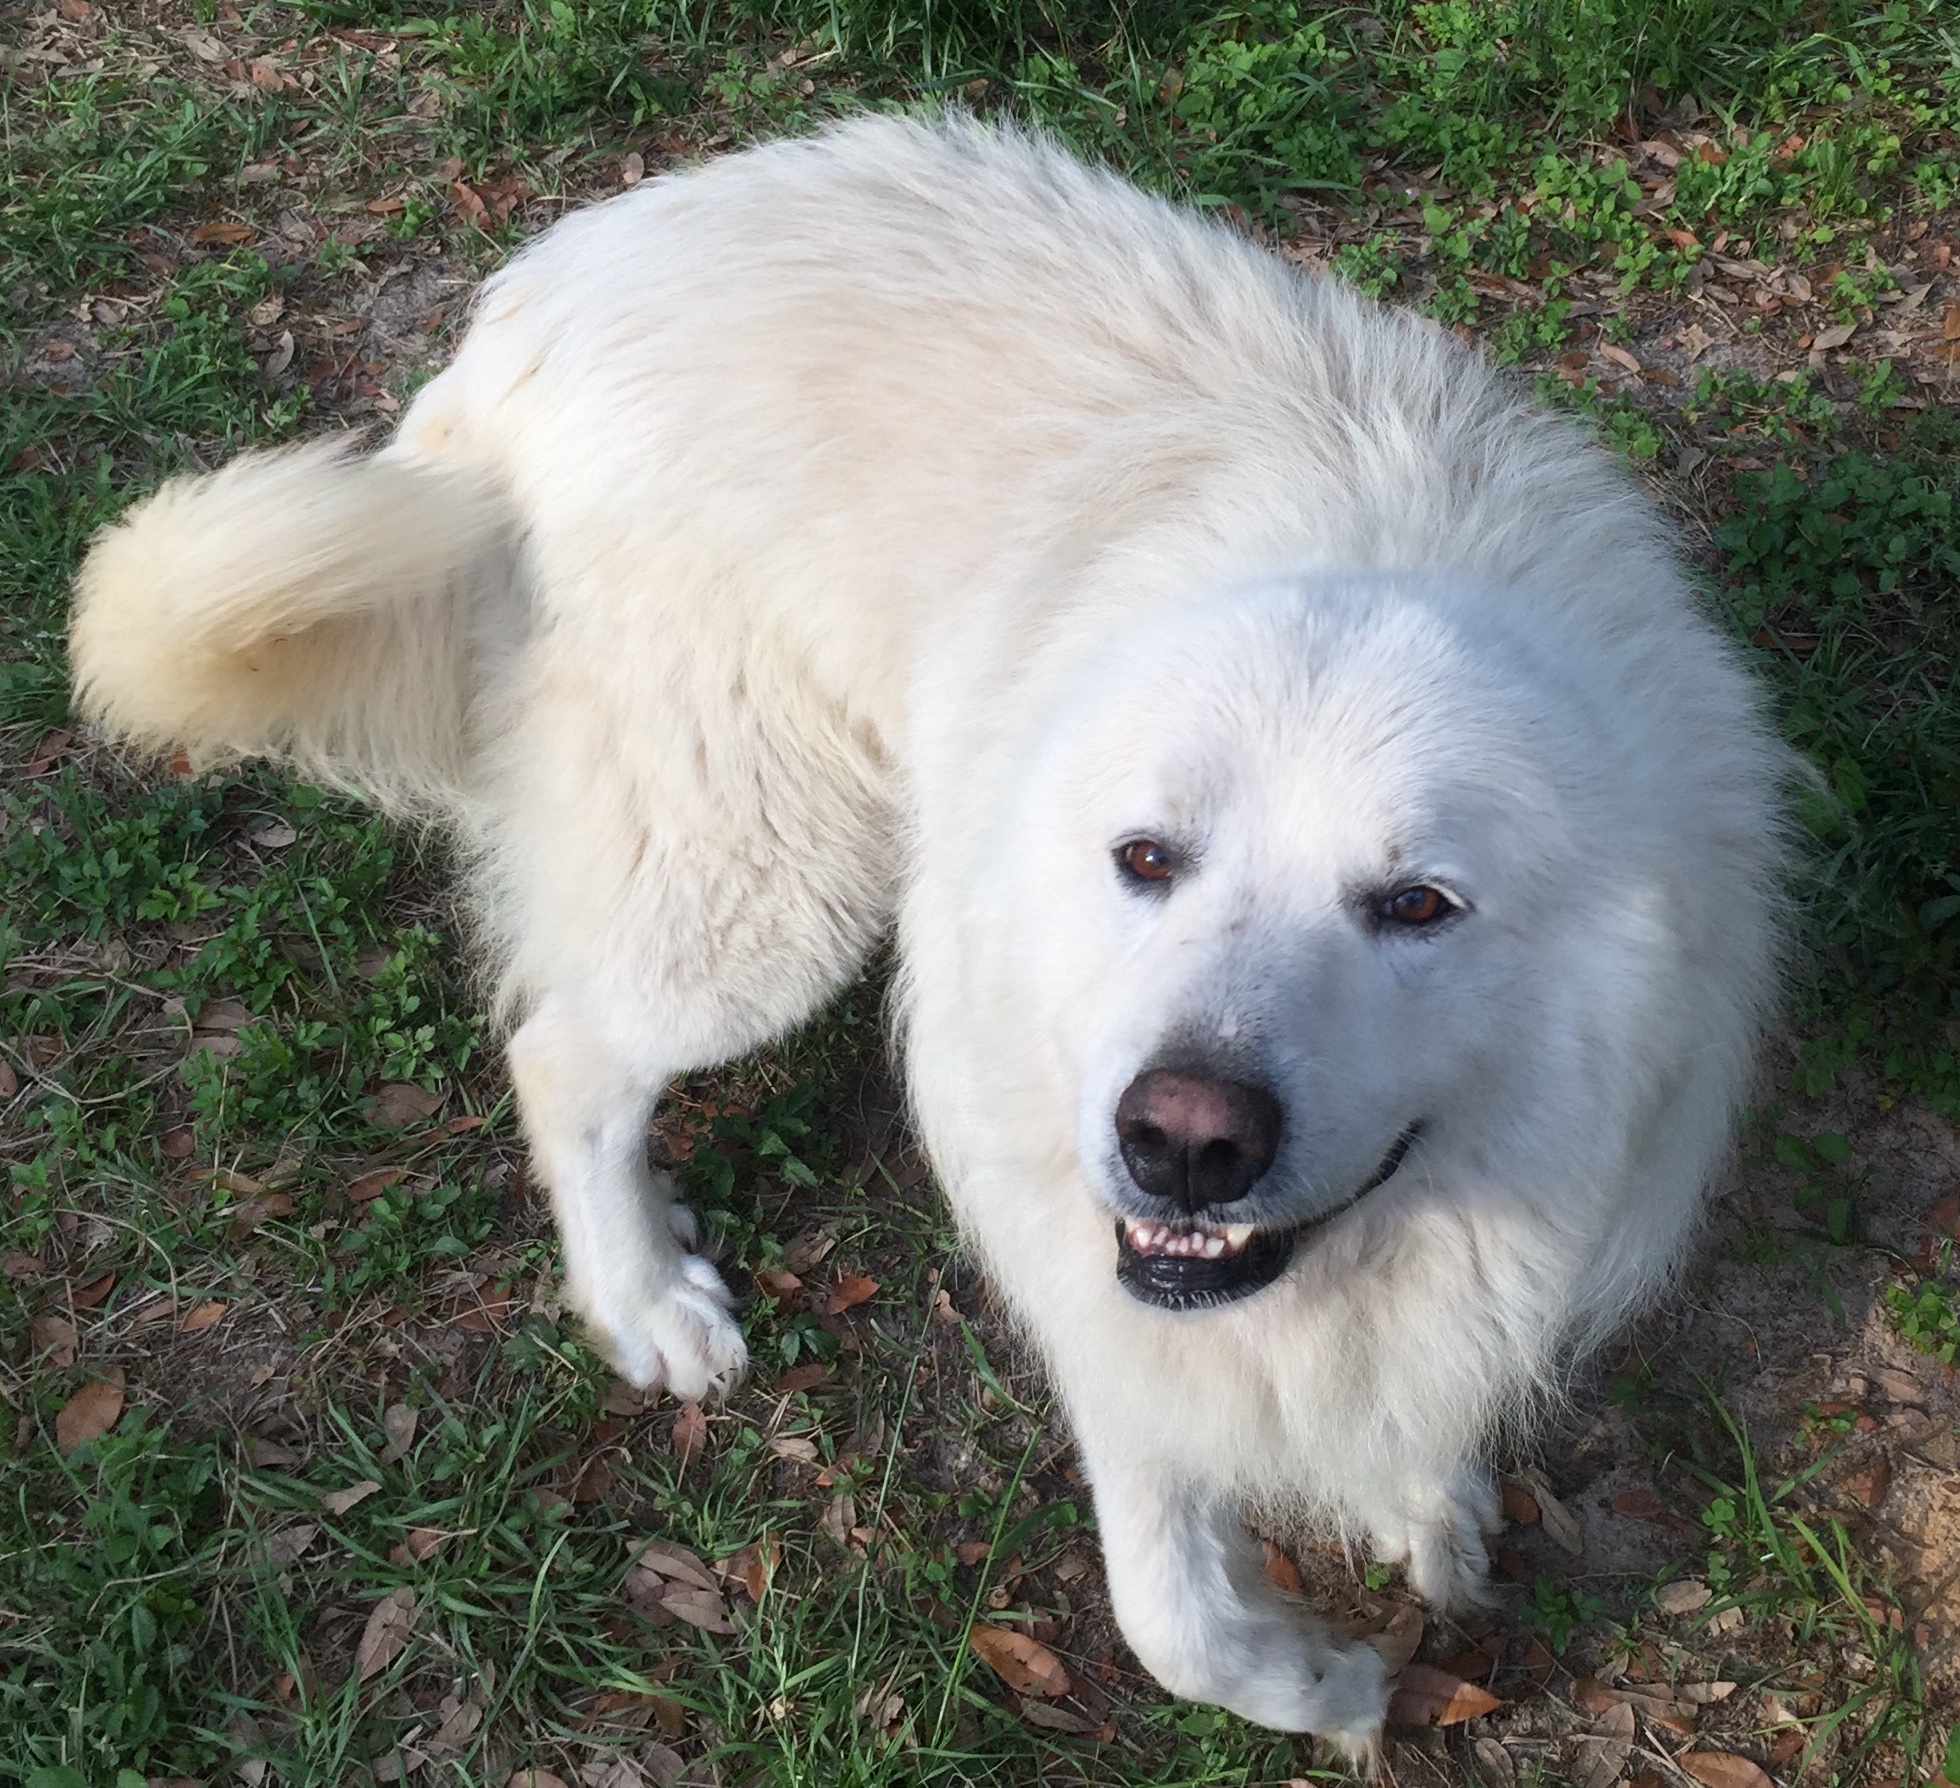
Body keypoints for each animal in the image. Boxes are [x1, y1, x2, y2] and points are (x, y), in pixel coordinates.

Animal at [72, 115, 1795, 1756]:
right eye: (1145, 859)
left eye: (1418, 906)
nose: (1184, 1141)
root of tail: (524, 316)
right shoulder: (1091, 1273)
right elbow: (1172, 1619)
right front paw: (1336, 1687)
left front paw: (1416, 1516)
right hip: (773, 890)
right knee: (564, 1052)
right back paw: (647, 1302)